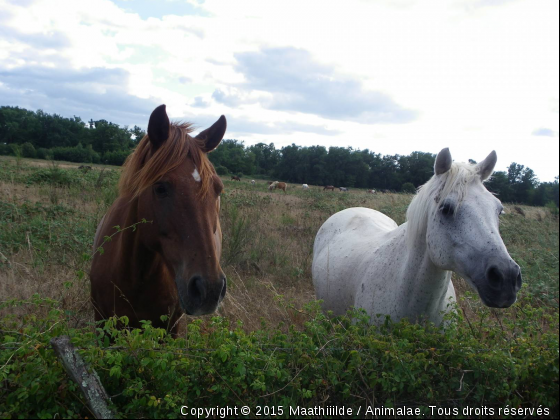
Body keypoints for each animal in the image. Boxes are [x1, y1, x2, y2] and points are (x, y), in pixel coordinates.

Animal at [91, 106, 226, 338]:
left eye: (218, 189)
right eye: (160, 188)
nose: (209, 289)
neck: (134, 276)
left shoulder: (169, 326)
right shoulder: (103, 324)